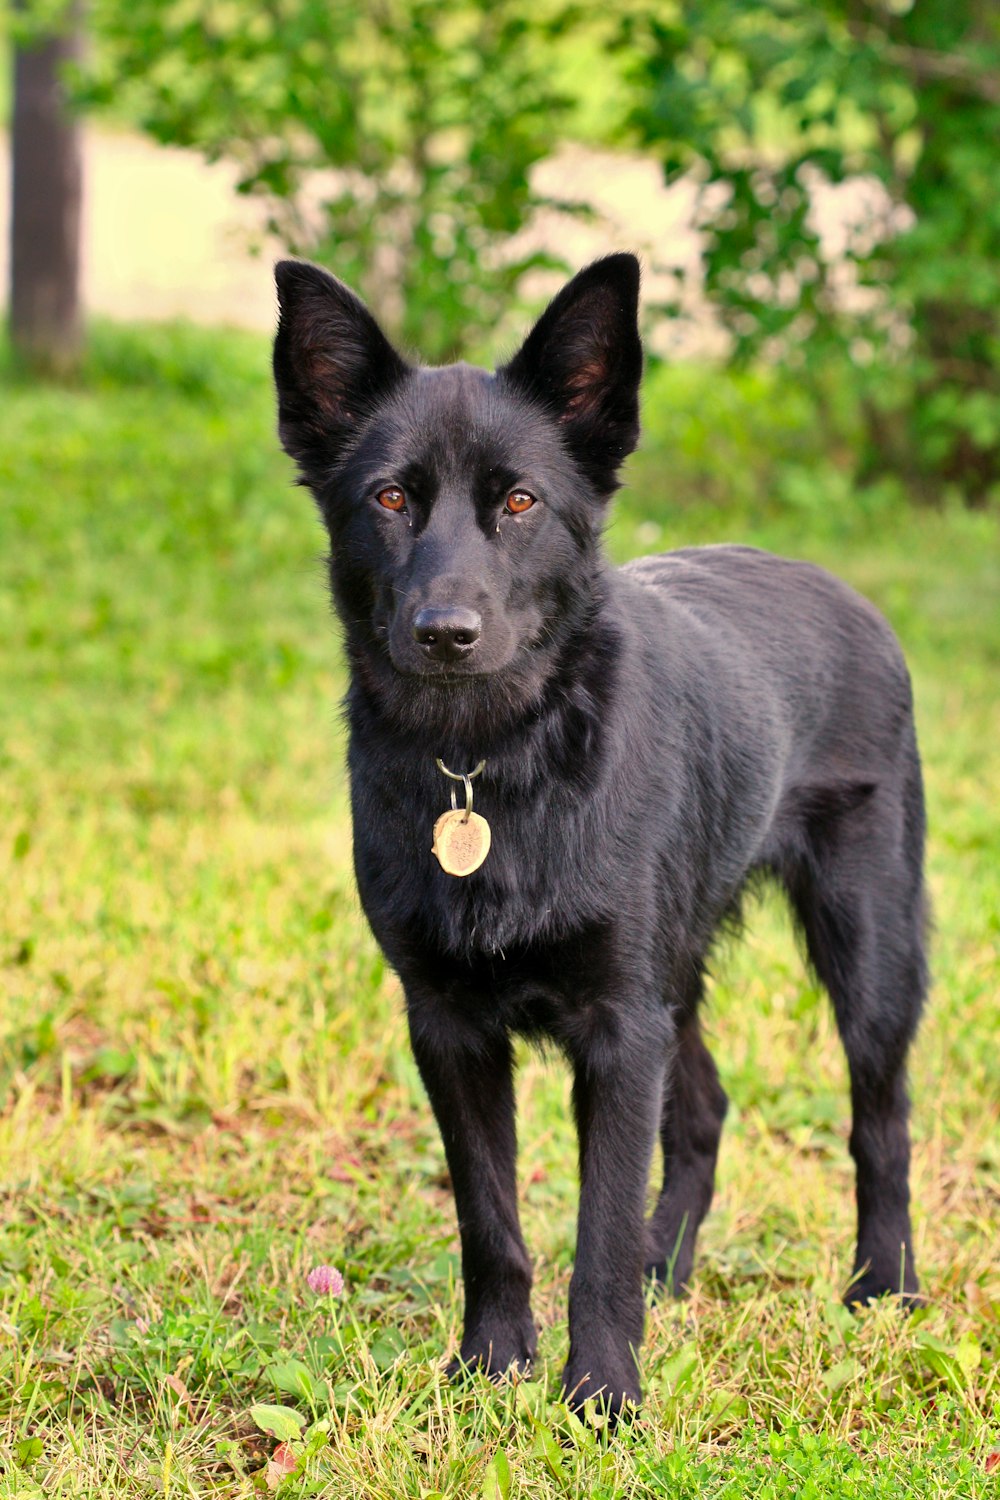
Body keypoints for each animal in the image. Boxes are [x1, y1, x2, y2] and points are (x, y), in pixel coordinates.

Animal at [269, 255, 929, 1416]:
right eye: (389, 498)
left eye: (520, 501)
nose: (446, 633)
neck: (491, 764)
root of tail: (843, 593)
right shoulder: (453, 1027)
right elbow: (492, 1221)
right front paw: (491, 1368)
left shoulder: (620, 1027)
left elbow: (597, 1233)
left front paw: (602, 1396)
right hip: (681, 971)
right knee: (703, 1111)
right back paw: (673, 1269)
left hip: (867, 947)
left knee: (879, 1121)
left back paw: (881, 1287)